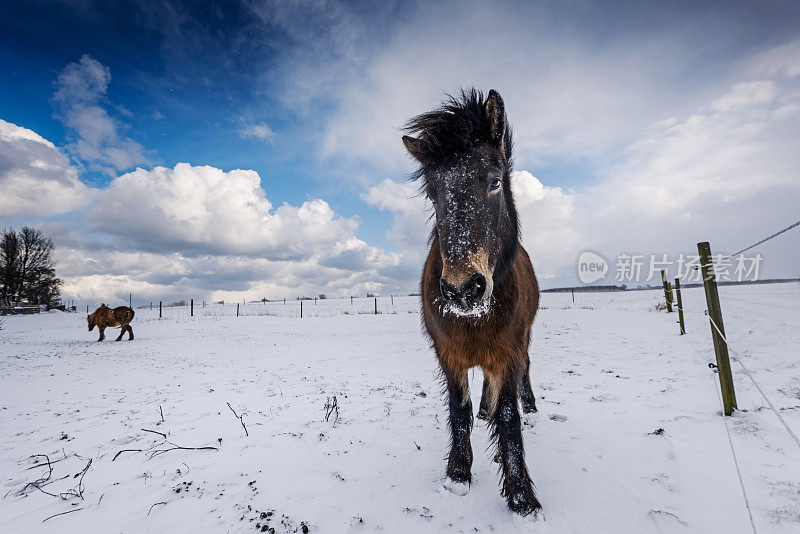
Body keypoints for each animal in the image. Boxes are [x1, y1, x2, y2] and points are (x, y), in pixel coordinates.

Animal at [404, 89, 540, 520]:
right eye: (434, 194)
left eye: (495, 181)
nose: (463, 289)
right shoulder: (448, 353)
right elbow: (458, 408)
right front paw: (458, 473)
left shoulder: (509, 350)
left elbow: (509, 415)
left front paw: (521, 497)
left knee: (524, 374)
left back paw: (529, 406)